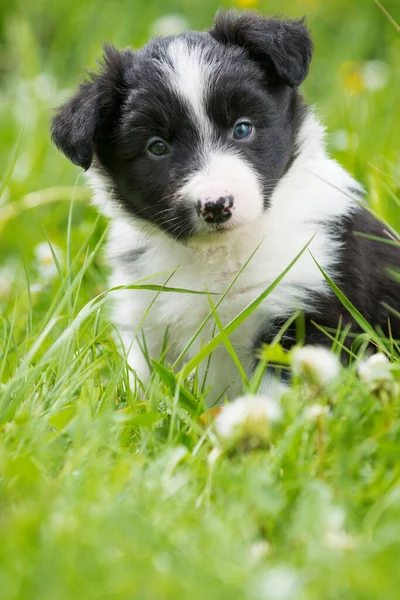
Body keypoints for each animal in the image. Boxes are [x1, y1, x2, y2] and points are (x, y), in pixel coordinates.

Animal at [50, 10, 400, 404]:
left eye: (242, 129)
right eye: (157, 147)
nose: (216, 206)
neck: (218, 257)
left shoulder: (303, 313)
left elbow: (278, 401)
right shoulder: (146, 318)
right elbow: (138, 390)